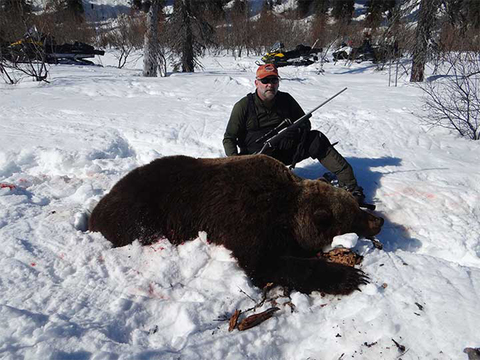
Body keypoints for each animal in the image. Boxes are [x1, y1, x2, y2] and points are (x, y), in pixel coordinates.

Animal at [89, 155, 382, 296]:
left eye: (356, 207)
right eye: (354, 214)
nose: (378, 220)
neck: (286, 211)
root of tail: (96, 210)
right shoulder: (247, 220)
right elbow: (265, 263)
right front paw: (350, 276)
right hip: (142, 209)